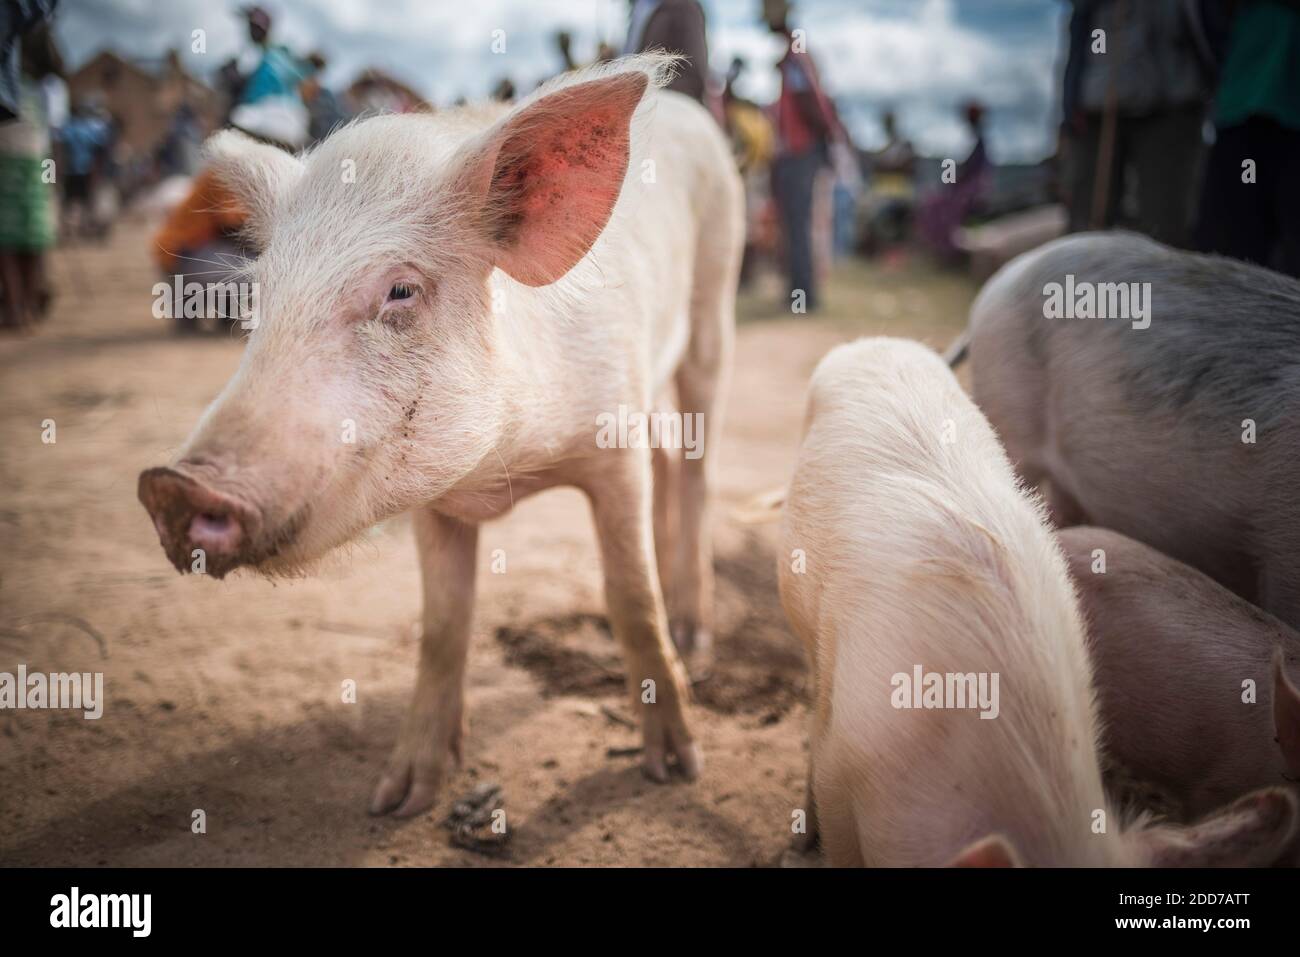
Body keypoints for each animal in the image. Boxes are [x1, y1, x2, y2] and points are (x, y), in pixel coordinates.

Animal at [134, 54, 743, 816]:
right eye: (262, 296)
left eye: (400, 291)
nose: (173, 483)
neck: (503, 468)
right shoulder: (427, 495)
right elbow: (444, 624)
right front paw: (399, 798)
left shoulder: (614, 439)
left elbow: (630, 595)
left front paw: (676, 768)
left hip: (714, 306)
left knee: (696, 467)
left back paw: (696, 636)